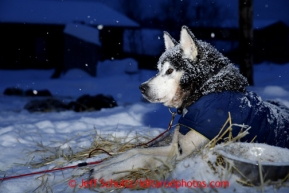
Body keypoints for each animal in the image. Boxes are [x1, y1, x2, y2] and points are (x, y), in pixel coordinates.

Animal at [91, 26, 288, 181]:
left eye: (170, 71)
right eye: (159, 70)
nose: (142, 88)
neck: (205, 92)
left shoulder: (184, 155)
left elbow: (141, 157)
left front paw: (107, 172)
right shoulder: (175, 147)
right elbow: (135, 151)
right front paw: (105, 165)